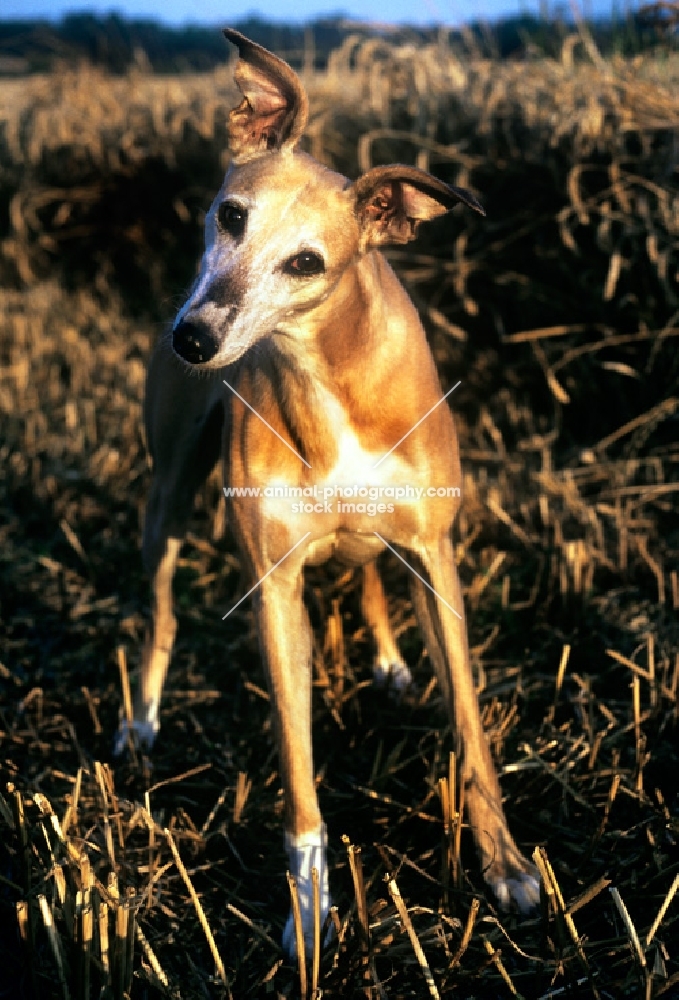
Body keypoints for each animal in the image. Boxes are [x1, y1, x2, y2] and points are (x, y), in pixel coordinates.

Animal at [119, 29, 540, 952]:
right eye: (231, 215)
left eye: (306, 262)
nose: (192, 339)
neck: (326, 372)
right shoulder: (274, 587)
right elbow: (297, 762)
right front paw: (309, 904)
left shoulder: (435, 556)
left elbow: (469, 724)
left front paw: (504, 866)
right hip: (166, 497)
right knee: (161, 607)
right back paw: (141, 717)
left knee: (367, 568)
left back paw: (386, 660)